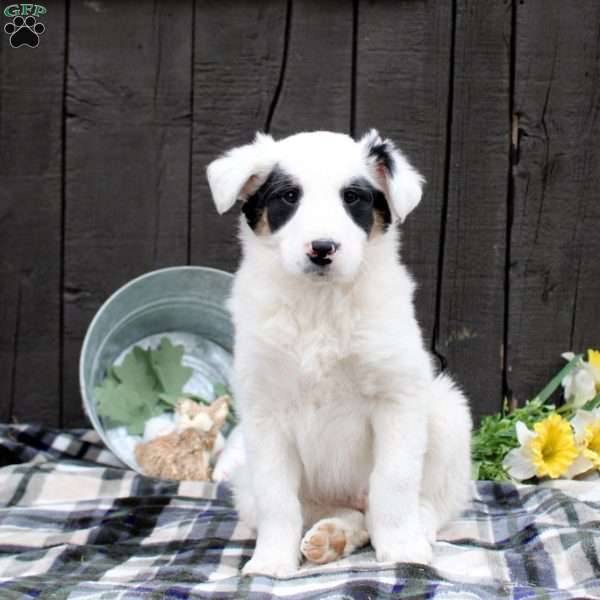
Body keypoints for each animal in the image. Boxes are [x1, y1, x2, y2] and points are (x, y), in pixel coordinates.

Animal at [207, 130, 474, 576]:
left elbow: (395, 481)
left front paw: (401, 548)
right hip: (245, 485)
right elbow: (278, 498)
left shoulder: (397, 397)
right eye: (289, 196)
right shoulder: (265, 412)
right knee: (337, 514)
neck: (320, 305)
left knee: (426, 505)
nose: (322, 248)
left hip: (447, 414)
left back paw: (413, 531)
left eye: (353, 198)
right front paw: (270, 562)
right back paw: (331, 537)